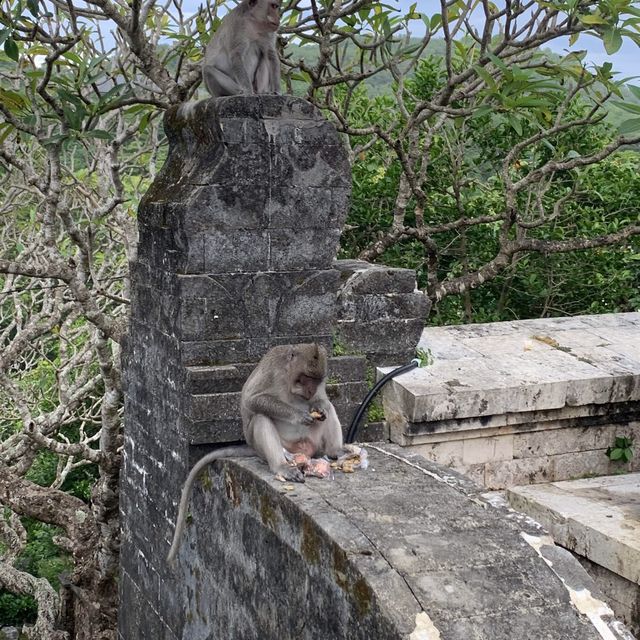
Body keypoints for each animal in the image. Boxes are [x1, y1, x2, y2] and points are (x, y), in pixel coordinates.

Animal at [168, 342, 342, 564]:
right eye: (306, 378)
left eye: (317, 380)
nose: (311, 390)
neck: (289, 376)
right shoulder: (273, 370)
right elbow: (252, 400)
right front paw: (299, 415)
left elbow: (323, 401)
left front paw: (318, 406)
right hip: (277, 447)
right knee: (261, 419)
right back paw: (281, 467)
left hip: (313, 444)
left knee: (329, 408)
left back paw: (335, 452)